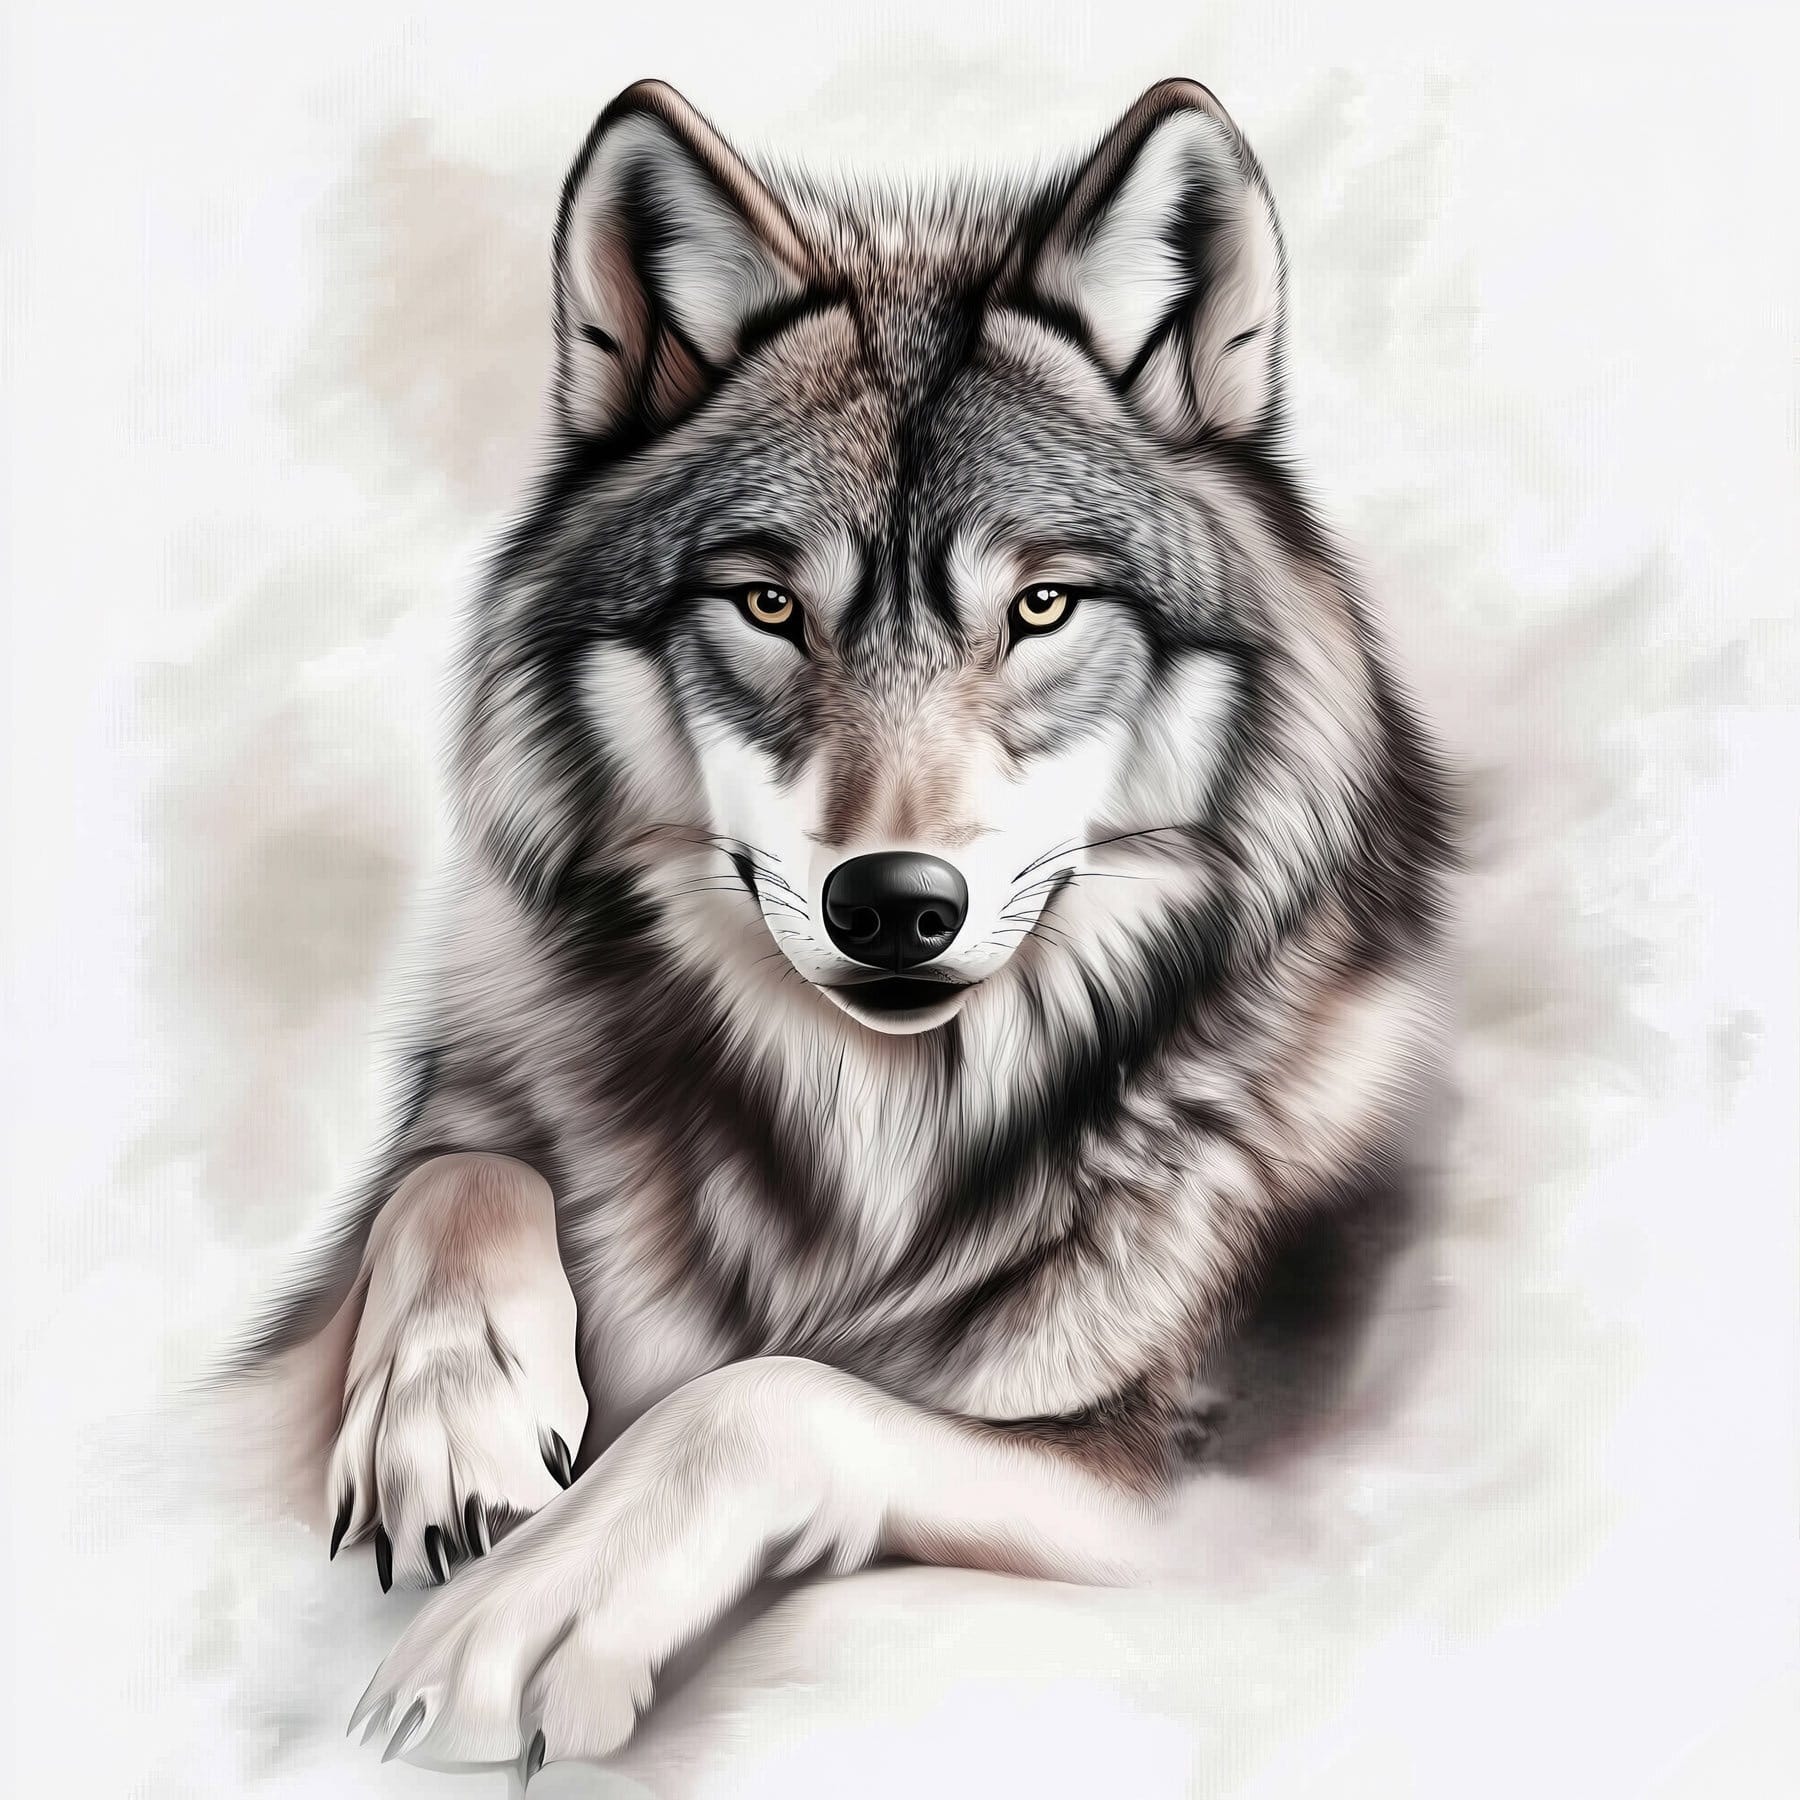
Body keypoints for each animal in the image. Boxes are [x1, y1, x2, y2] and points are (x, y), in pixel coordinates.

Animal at [236, 76, 1452, 1774]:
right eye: (767, 606)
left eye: (1041, 608)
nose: (893, 905)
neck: (872, 1132)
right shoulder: (476, 1084)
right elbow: (459, 1168)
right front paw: (450, 1424)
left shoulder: (1206, 1499)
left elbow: (769, 1395)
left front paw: (526, 1614)